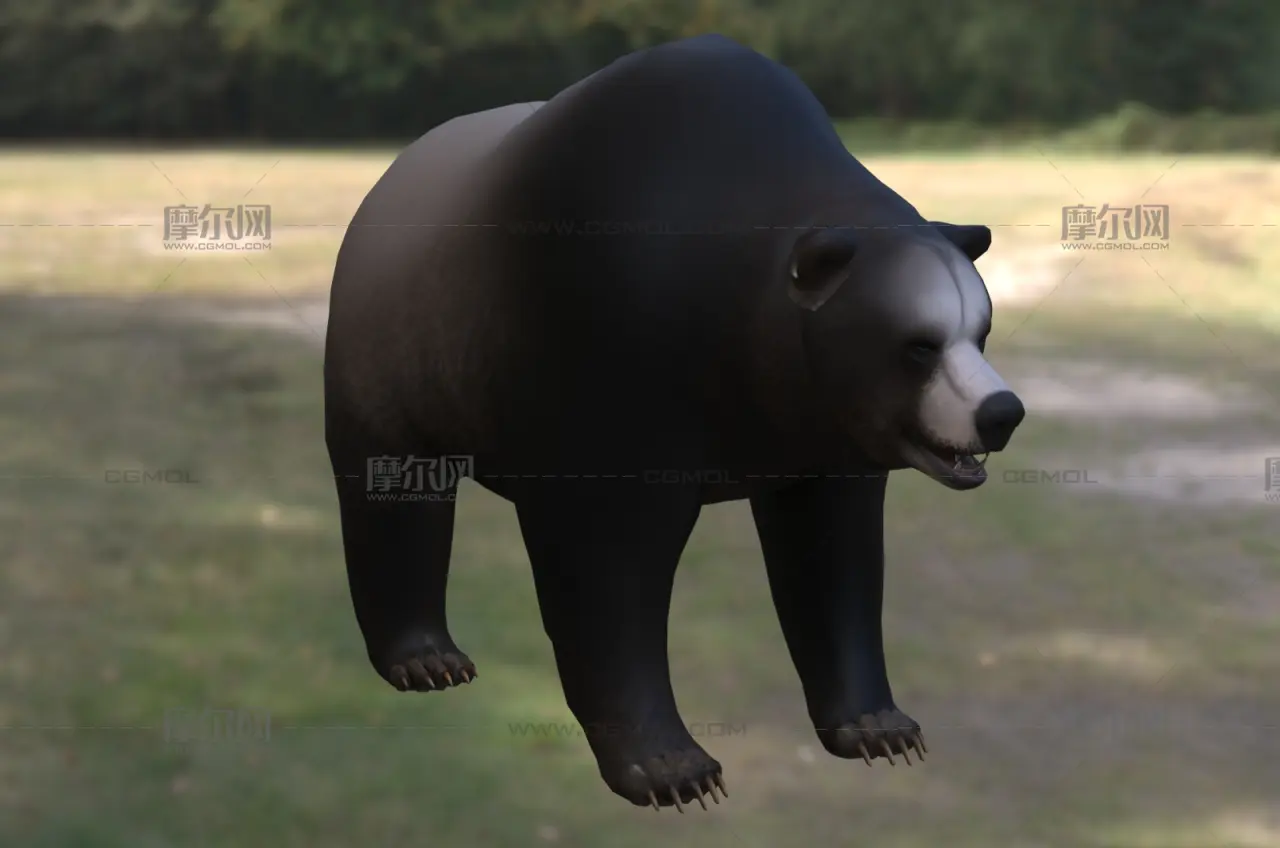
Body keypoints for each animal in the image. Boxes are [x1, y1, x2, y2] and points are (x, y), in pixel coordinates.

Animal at [324, 34, 1026, 812]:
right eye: (918, 346)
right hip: (388, 346)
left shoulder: (816, 427)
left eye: (980, 330)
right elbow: (606, 565)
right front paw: (671, 767)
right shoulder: (603, 335)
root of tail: (388, 176)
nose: (1001, 412)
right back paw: (425, 659)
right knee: (393, 488)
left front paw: (879, 726)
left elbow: (832, 553)